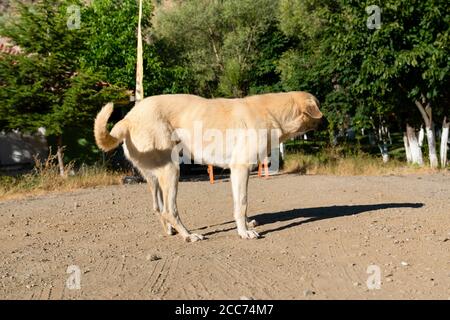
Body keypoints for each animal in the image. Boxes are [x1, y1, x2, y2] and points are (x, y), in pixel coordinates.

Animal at [95, 91, 322, 241]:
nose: (328, 121)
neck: (270, 111)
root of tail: (128, 118)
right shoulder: (240, 169)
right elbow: (242, 204)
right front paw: (244, 232)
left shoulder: (237, 173)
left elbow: (240, 205)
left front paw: (246, 224)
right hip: (172, 170)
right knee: (169, 210)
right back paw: (188, 235)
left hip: (154, 178)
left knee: (157, 208)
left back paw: (170, 231)